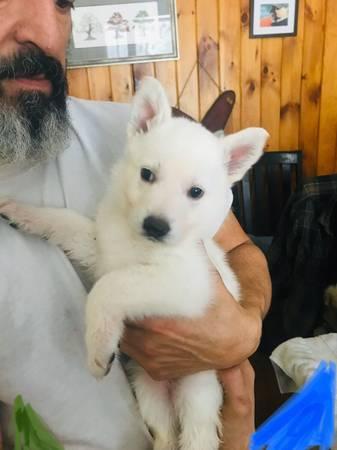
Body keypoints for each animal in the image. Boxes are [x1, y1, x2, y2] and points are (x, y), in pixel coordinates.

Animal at [0, 77, 268, 450]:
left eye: (196, 192)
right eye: (147, 174)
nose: (156, 226)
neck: (138, 244)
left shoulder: (185, 286)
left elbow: (108, 289)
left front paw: (98, 348)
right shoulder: (101, 250)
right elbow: (67, 222)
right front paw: (25, 213)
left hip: (198, 391)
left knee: (196, 434)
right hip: (148, 390)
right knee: (165, 433)